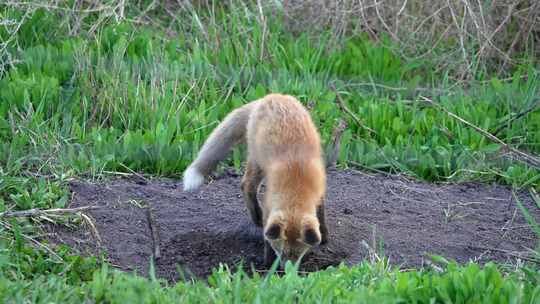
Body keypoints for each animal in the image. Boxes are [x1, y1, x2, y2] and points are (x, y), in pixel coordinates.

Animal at [182, 94, 330, 268]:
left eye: (298, 254)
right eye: (281, 251)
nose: (288, 271)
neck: (297, 180)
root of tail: (269, 97)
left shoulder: (319, 191)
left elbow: (320, 214)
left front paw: (324, 235)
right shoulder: (270, 202)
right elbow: (267, 235)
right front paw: (268, 264)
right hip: (257, 161)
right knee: (246, 185)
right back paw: (256, 217)